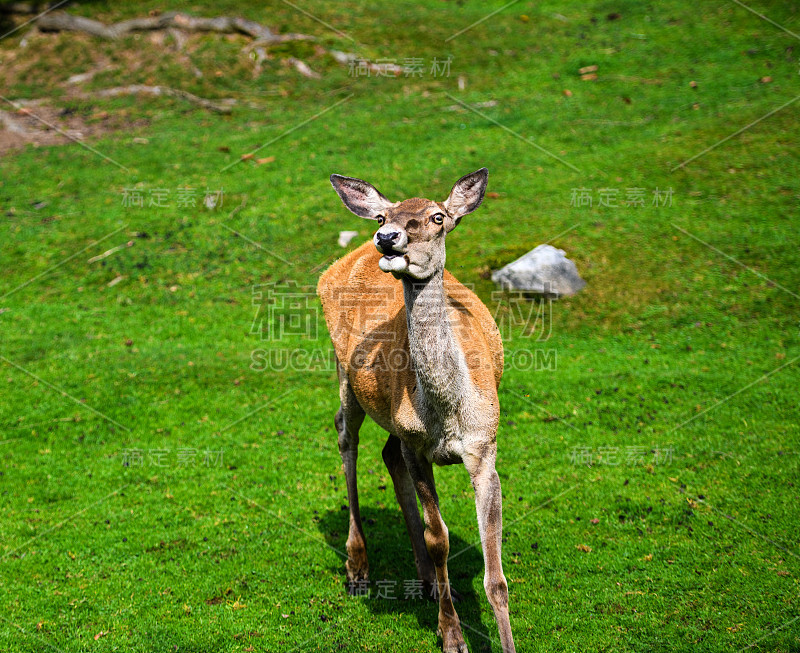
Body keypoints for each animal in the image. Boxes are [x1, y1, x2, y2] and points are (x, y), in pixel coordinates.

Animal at [316, 169, 516, 652]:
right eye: (384, 215)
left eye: (438, 216)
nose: (386, 237)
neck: (448, 415)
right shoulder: (419, 447)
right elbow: (438, 537)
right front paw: (452, 636)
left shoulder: (485, 446)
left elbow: (495, 572)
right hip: (344, 374)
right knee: (346, 437)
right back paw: (358, 567)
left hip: (392, 417)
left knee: (387, 453)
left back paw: (424, 581)